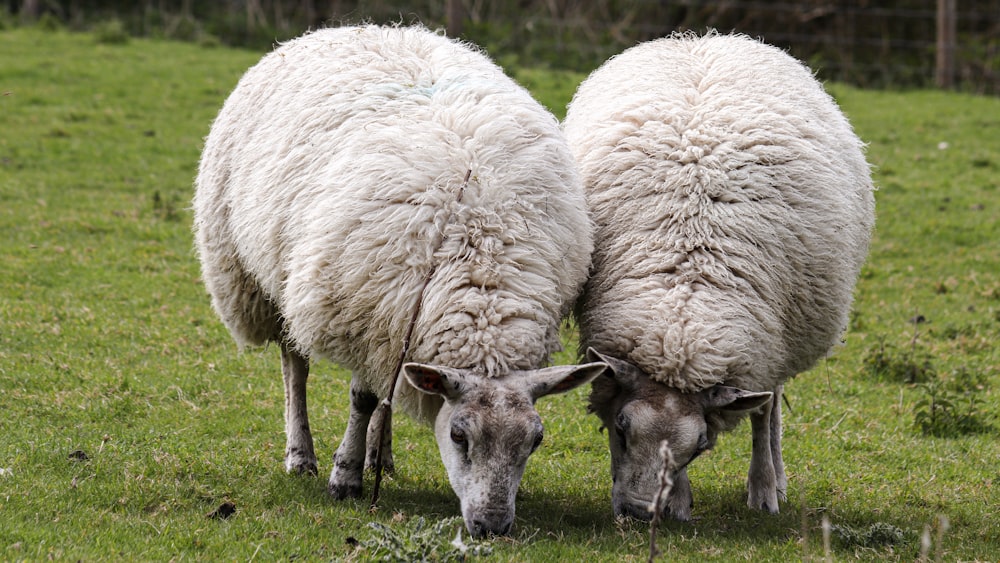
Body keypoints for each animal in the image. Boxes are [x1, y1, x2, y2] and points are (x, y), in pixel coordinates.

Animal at [191, 25, 604, 536]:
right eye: (459, 436)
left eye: (536, 440)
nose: (492, 526)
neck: (483, 276)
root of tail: (349, 27)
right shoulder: (363, 315)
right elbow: (362, 398)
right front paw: (345, 477)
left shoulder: (390, 325)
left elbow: (377, 397)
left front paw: (365, 459)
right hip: (268, 280)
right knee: (294, 367)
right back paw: (301, 455)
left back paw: (379, 457)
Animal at [564, 33, 876, 524]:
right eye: (621, 428)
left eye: (699, 446)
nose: (637, 512)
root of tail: (705, 40)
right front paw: (678, 500)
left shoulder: (762, 353)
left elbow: (763, 417)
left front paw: (762, 492)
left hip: (780, 341)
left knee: (771, 406)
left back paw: (775, 477)